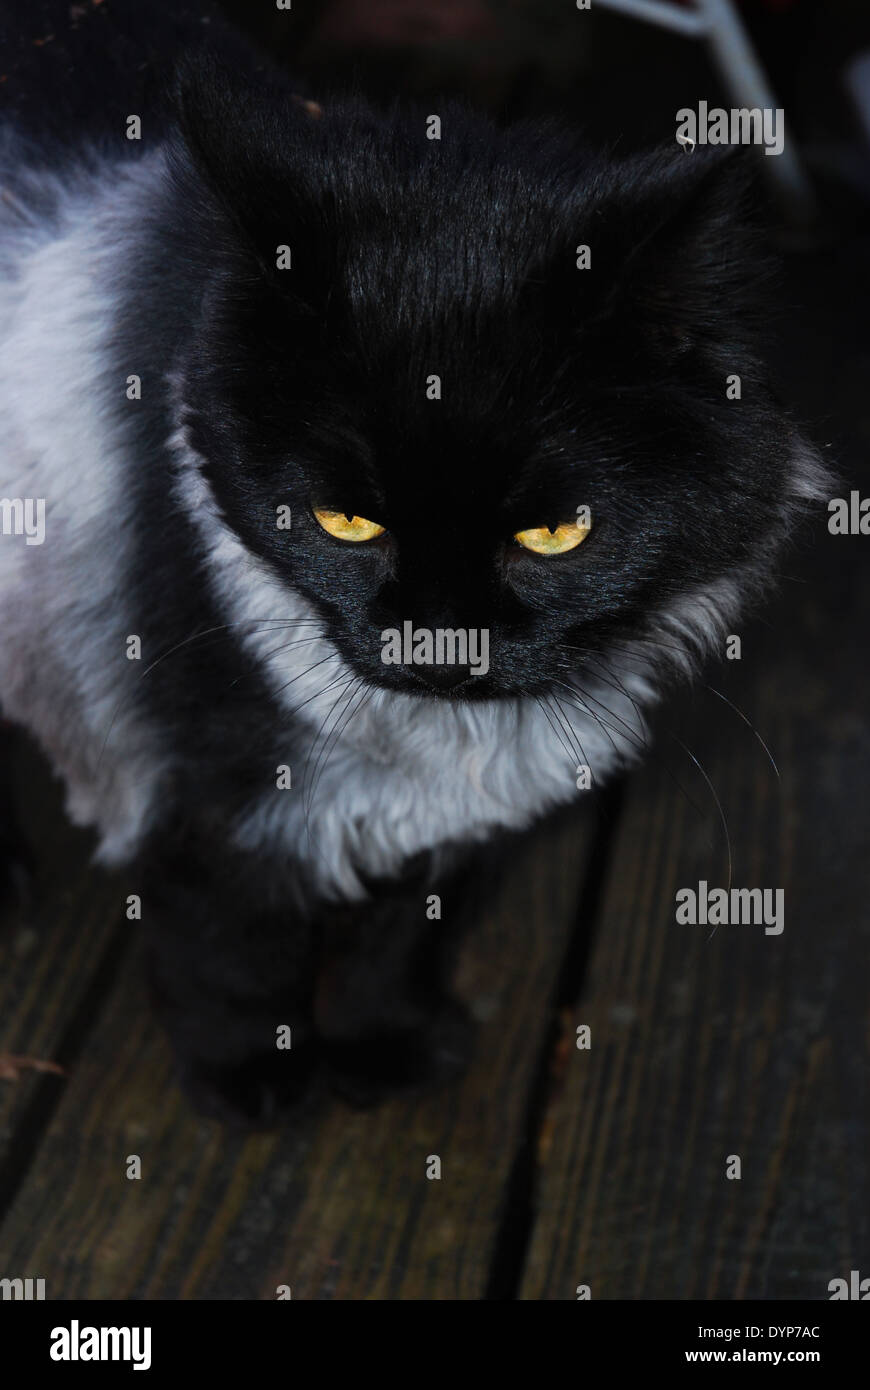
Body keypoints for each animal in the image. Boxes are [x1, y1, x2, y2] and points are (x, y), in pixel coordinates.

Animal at [0, 5, 828, 1123]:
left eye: (555, 534)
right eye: (344, 521)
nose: (436, 644)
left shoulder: (451, 811)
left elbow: (396, 938)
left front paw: (379, 1048)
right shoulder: (203, 780)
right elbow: (232, 944)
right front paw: (249, 1076)